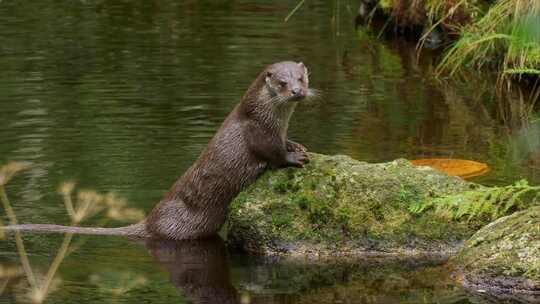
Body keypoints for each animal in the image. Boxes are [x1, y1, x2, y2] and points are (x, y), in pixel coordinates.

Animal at [4, 61, 314, 240]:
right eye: (282, 83)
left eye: (302, 79)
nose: (297, 92)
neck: (269, 118)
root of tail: (150, 222)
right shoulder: (257, 131)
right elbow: (272, 153)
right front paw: (294, 156)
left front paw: (296, 144)